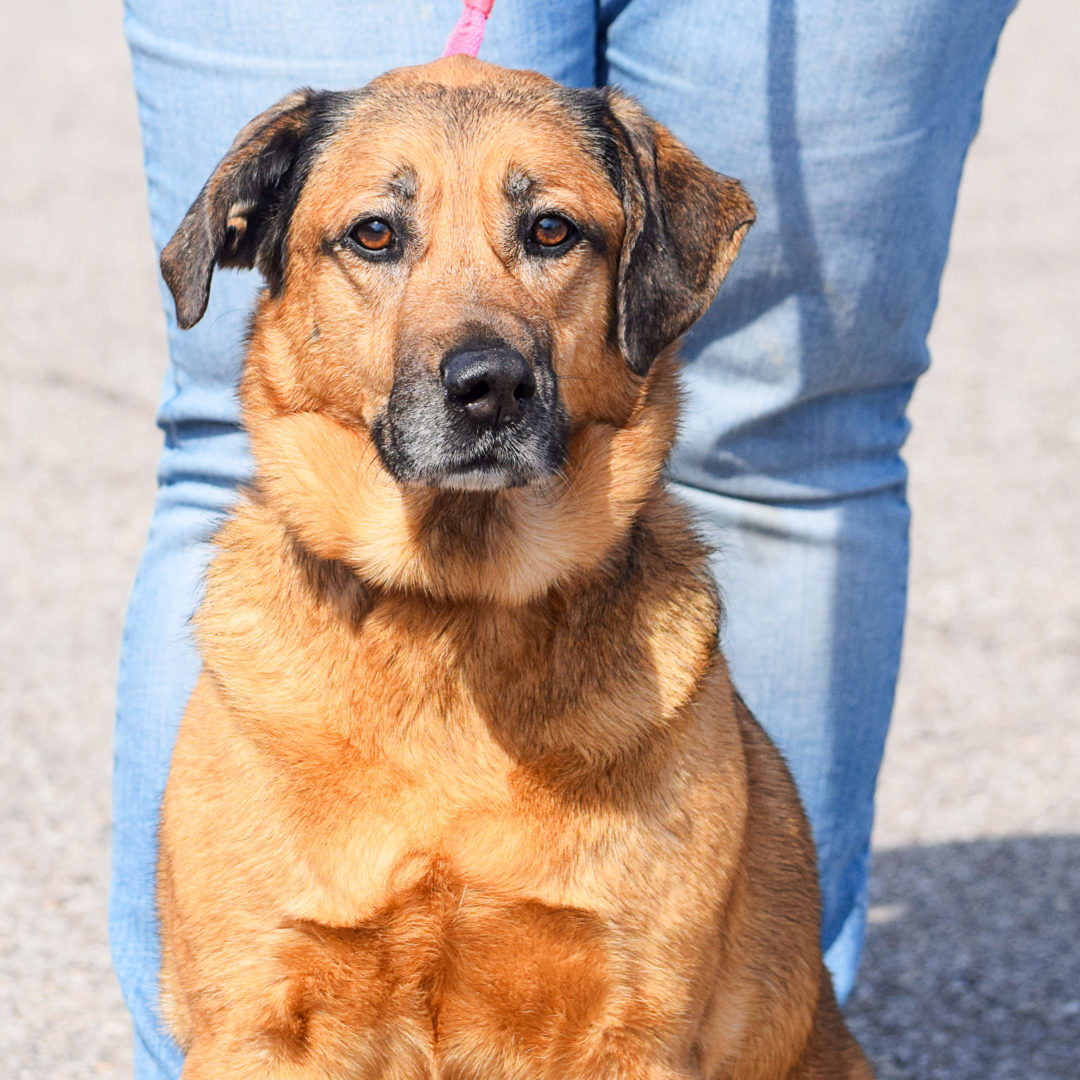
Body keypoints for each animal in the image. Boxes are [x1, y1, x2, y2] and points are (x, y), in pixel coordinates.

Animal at [156, 54, 872, 1075]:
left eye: (552, 231)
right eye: (374, 234)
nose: (489, 386)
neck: (453, 607)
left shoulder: (627, 1023)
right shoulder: (260, 1018)